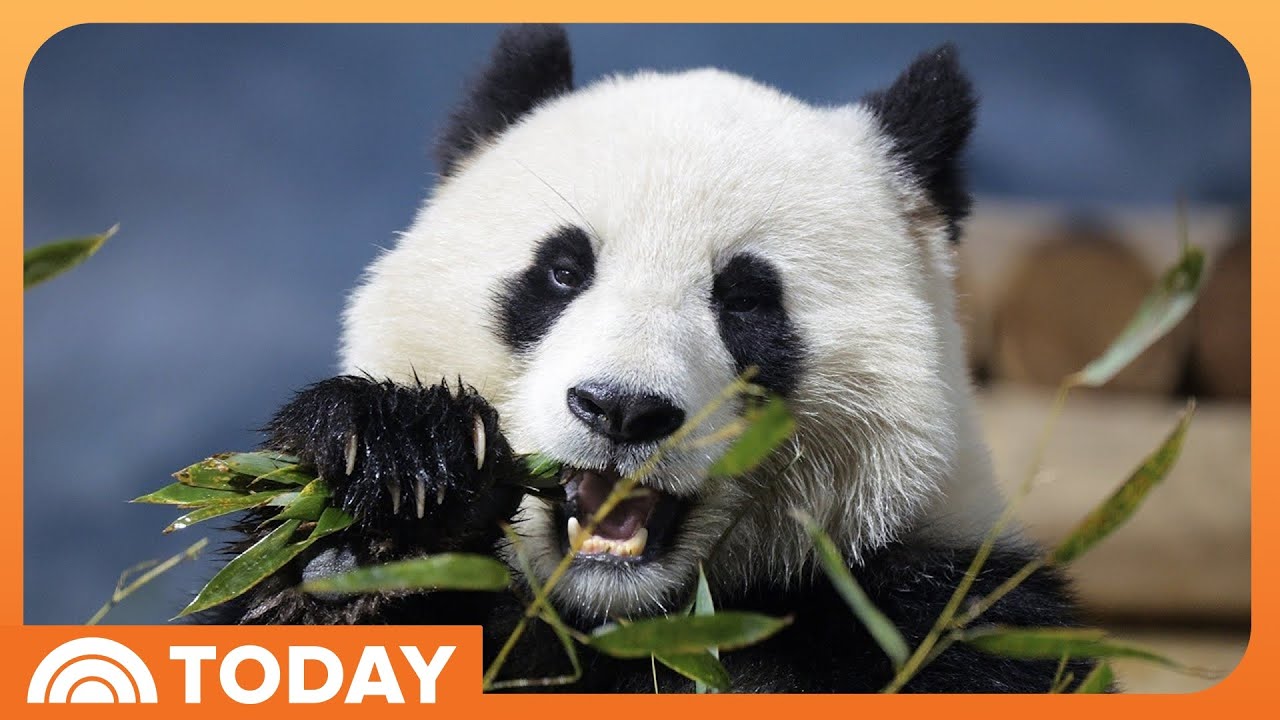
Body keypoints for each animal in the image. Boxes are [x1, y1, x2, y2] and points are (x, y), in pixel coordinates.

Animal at [209, 25, 1098, 693]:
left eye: (745, 300)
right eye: (562, 272)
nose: (622, 409)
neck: (623, 617)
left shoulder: (944, 611)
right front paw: (386, 503)